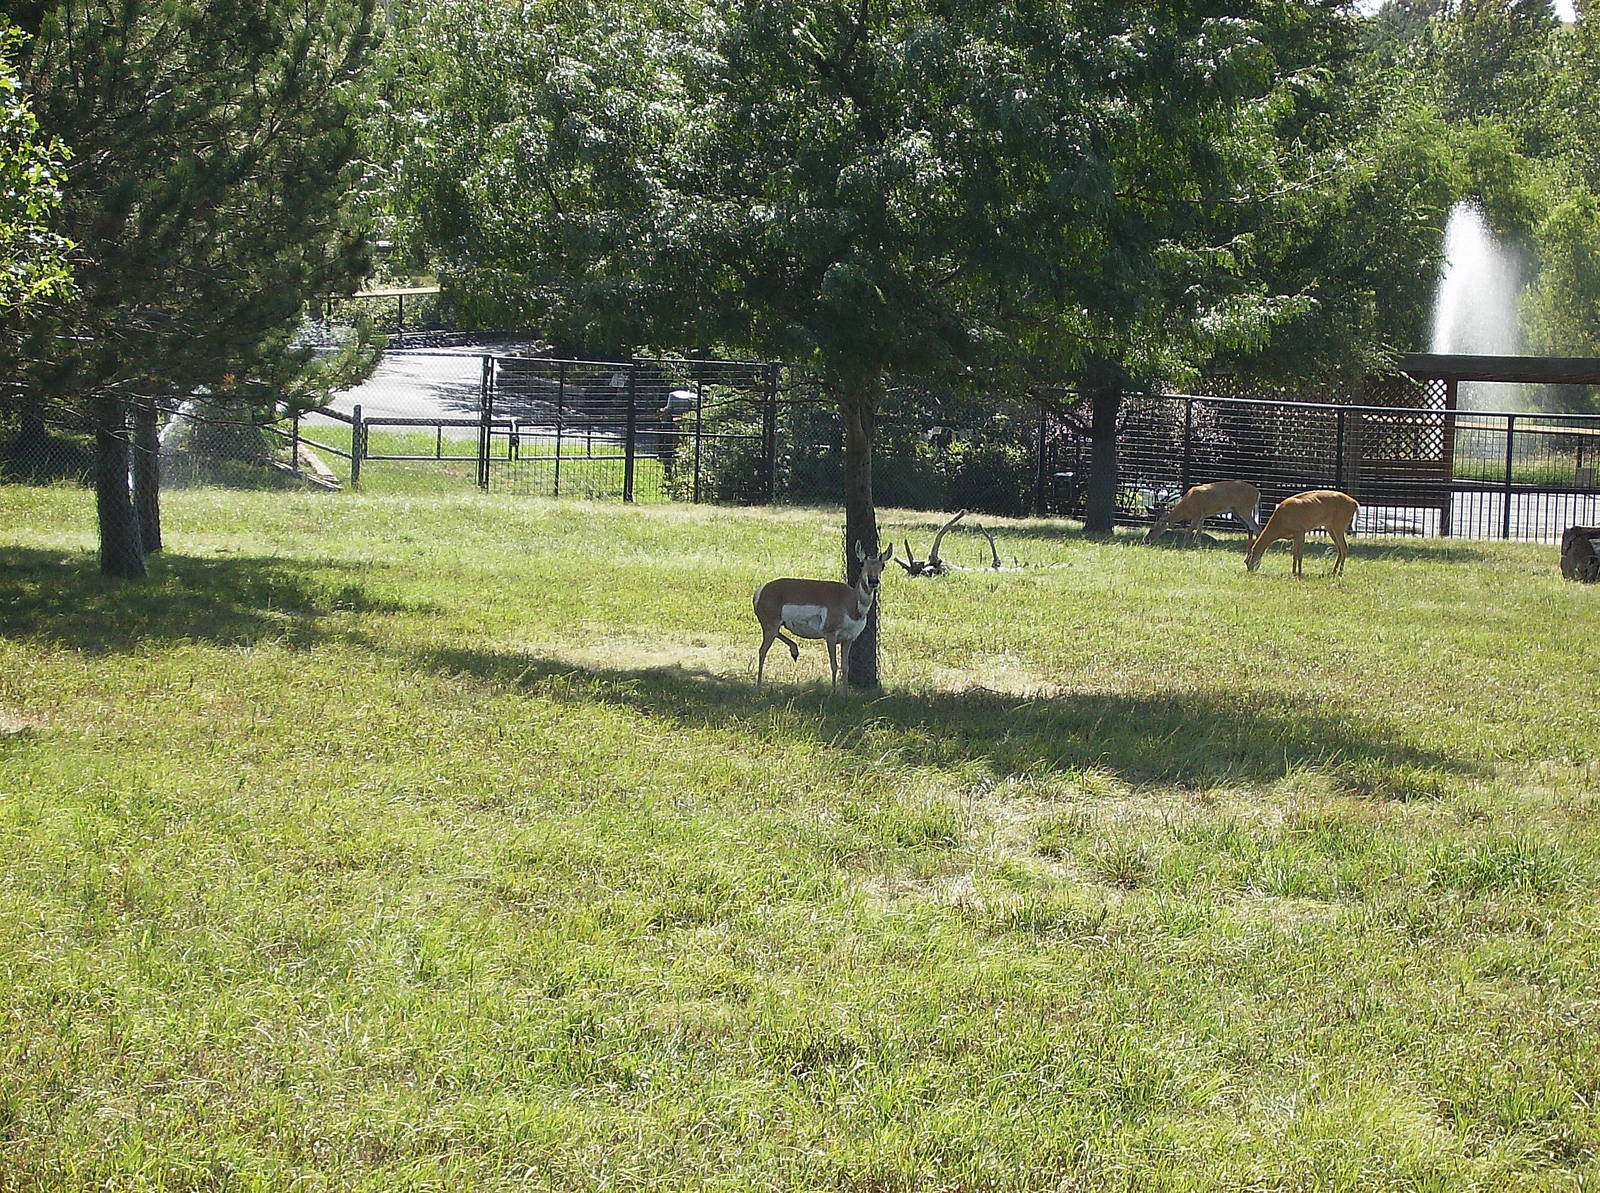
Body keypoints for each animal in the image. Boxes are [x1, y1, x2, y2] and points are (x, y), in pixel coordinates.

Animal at [754, 541, 895, 692]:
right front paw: (833, 693)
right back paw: (759, 686)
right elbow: (834, 665)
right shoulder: (830, 636)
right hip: (770, 627)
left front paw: (845, 694)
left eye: (882, 565)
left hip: (775, 626)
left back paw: (794, 651)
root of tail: (761, 590)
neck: (850, 602)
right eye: (862, 563)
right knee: (762, 651)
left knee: (777, 635)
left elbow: (845, 667)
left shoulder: (848, 639)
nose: (873, 581)